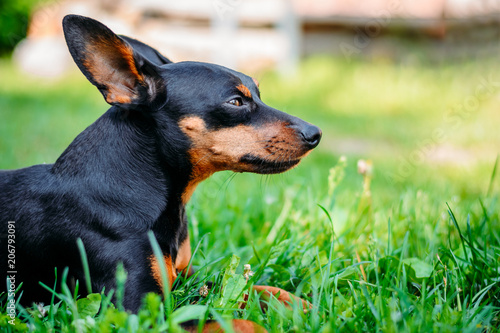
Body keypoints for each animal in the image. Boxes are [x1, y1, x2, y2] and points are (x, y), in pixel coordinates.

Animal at [0, 14, 320, 330]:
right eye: (236, 102)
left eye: (258, 95)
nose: (315, 134)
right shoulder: (138, 312)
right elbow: (230, 322)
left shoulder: (186, 278)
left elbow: (251, 286)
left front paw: (302, 304)